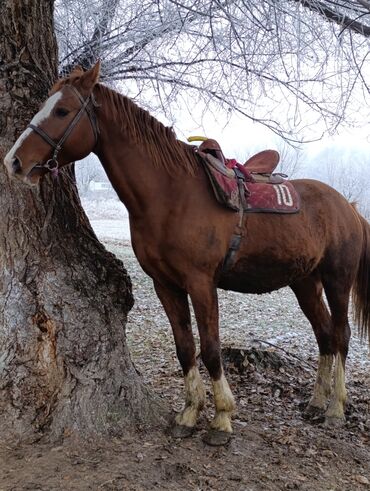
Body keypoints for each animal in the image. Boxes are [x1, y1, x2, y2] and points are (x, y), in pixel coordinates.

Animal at [3, 60, 370, 446]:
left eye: (62, 111)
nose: (14, 162)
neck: (171, 196)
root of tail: (348, 206)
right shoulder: (165, 285)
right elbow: (184, 348)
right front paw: (190, 413)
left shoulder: (201, 283)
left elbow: (210, 348)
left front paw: (221, 419)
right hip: (305, 283)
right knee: (324, 335)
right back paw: (316, 403)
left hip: (337, 280)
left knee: (341, 335)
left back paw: (335, 409)